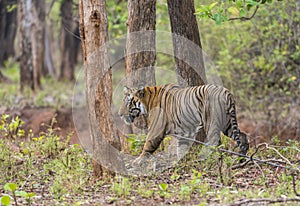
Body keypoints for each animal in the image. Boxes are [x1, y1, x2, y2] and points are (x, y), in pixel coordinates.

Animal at [118, 83, 250, 165]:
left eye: (128, 102)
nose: (119, 114)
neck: (147, 102)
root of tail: (226, 92)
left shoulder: (156, 129)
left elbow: (148, 145)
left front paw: (138, 161)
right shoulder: (184, 132)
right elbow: (181, 148)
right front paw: (180, 162)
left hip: (212, 123)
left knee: (215, 142)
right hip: (228, 124)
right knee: (242, 135)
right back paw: (241, 157)